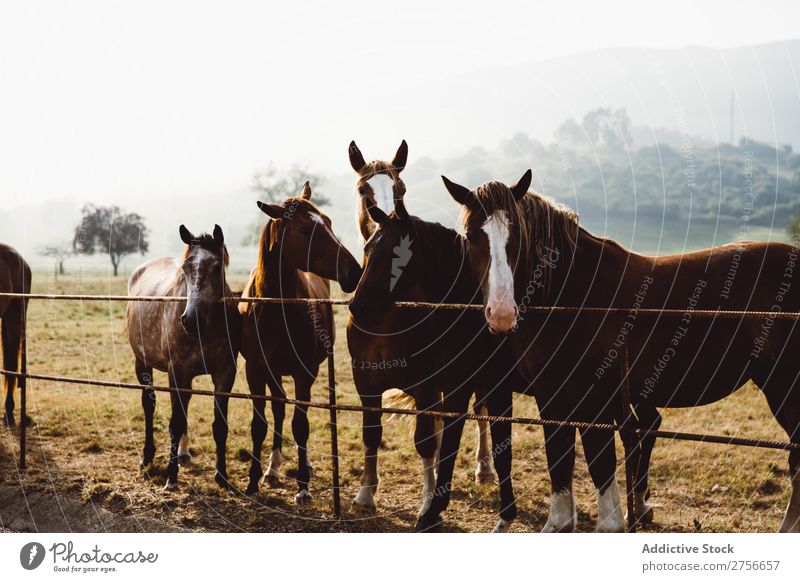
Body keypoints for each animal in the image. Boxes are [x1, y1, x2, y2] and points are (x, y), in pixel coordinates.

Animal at [126, 226, 241, 490]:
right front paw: (171, 477)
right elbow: (175, 423)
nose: (191, 320)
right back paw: (147, 457)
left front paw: (222, 476)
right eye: (186, 268)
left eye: (216, 267)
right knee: (149, 405)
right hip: (142, 363)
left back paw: (183, 454)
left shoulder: (225, 373)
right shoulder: (176, 372)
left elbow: (220, 425)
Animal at [239, 182, 360, 502]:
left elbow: (301, 426)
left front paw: (303, 486)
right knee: (279, 409)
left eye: (328, 222)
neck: (275, 307)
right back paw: (272, 469)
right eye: (305, 230)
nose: (354, 271)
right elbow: (260, 425)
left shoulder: (304, 373)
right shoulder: (256, 371)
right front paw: (253, 480)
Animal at [348, 140, 500, 520]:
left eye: (400, 189)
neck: (385, 318)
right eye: (363, 190)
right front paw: (365, 494)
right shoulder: (365, 382)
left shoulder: (426, 386)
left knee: (481, 411)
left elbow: (425, 442)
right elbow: (372, 434)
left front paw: (429, 501)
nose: (384, 218)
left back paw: (484, 468)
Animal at [446, 169, 800, 532]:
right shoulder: (552, 397)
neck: (571, 294)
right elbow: (559, 460)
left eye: (518, 235)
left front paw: (614, 521)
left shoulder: (592, 400)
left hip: (784, 388)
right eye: (471, 237)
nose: (502, 314)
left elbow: (600, 465)